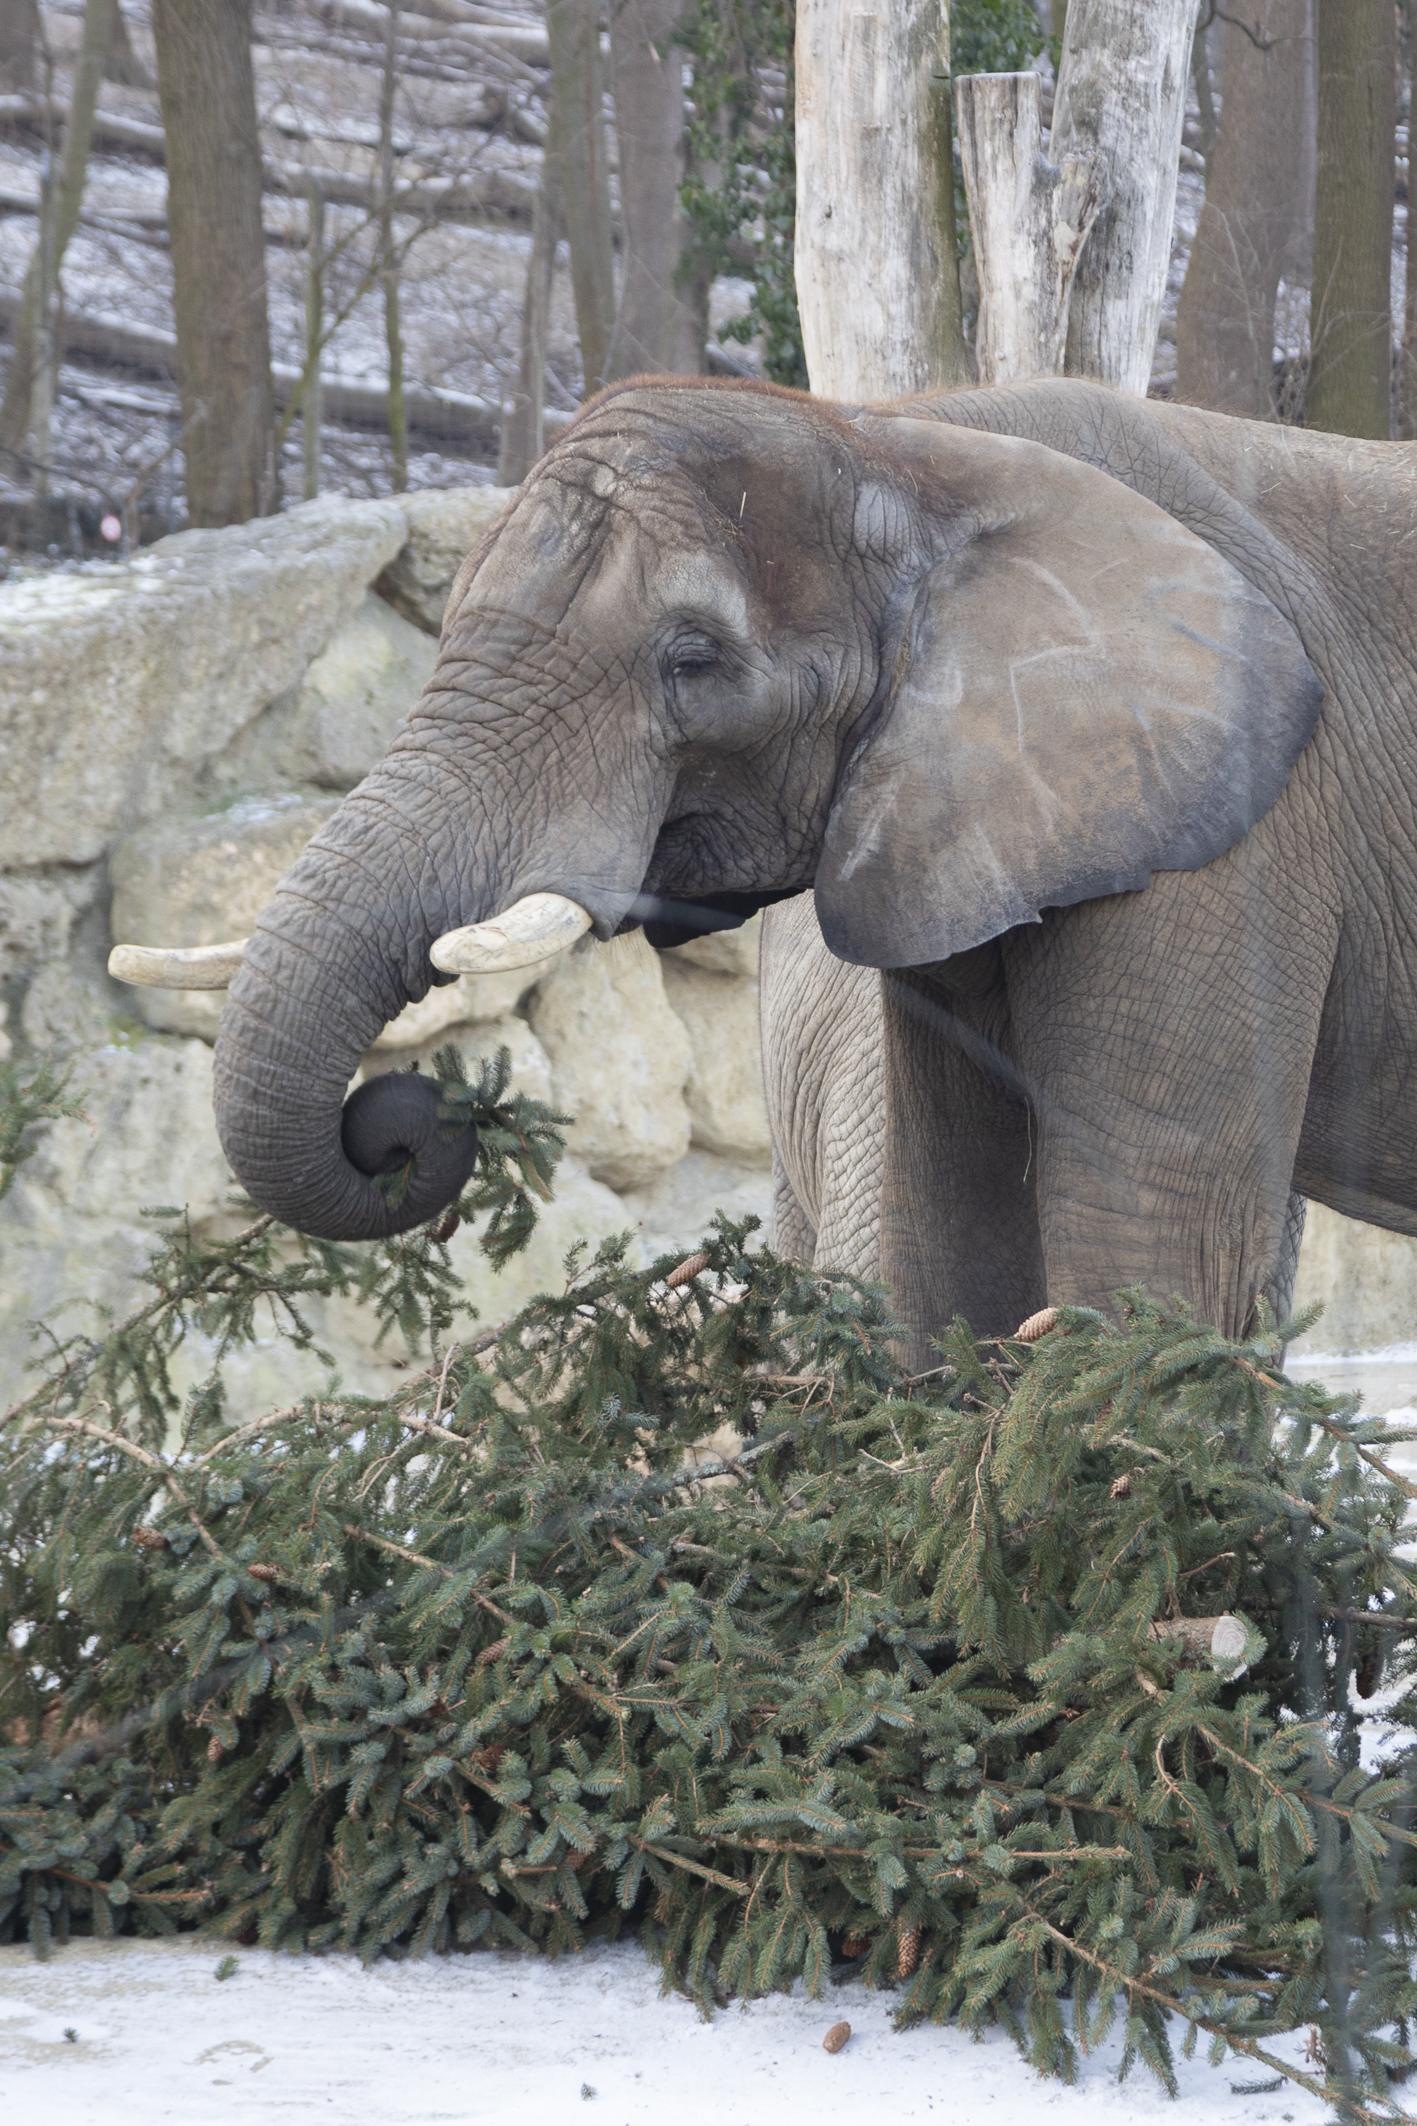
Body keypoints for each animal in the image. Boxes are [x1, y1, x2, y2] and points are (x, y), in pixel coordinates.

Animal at [116, 373, 1417, 1358]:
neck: (912, 442)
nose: (404, 1122)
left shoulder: (1235, 817)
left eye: (692, 659)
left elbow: (1149, 1243)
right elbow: (954, 1244)